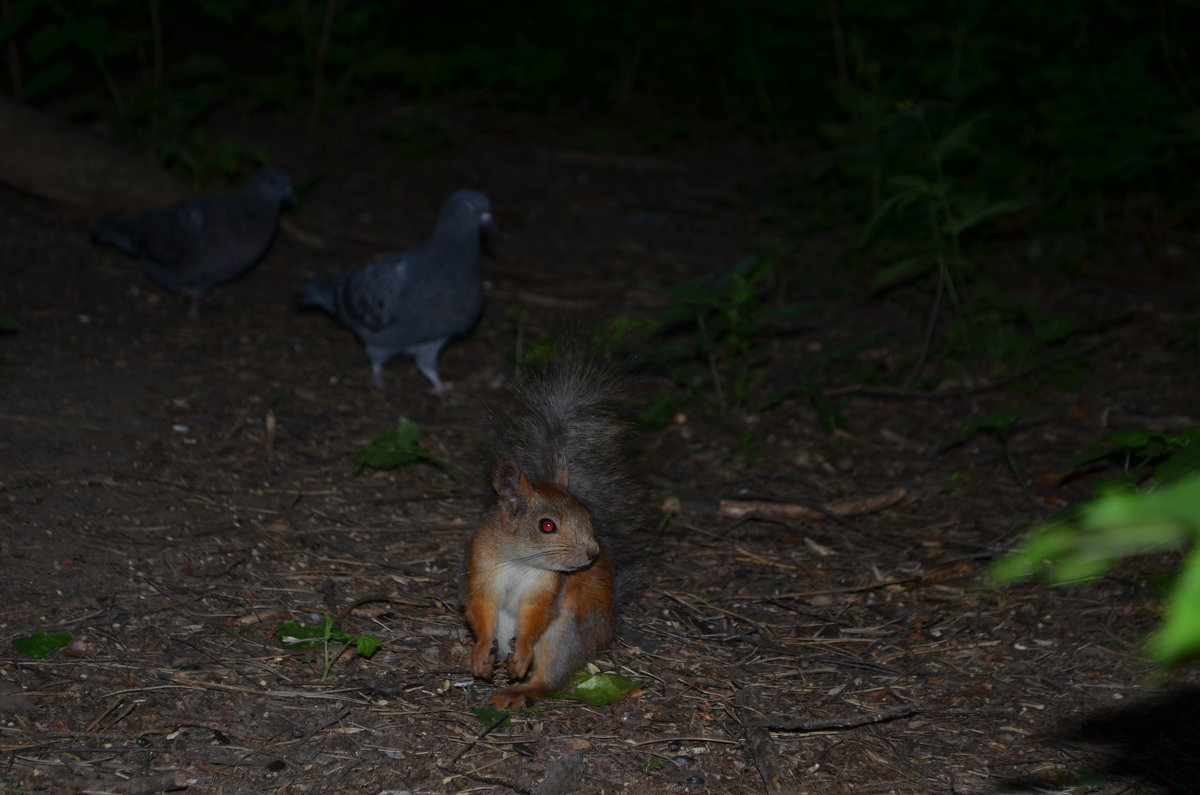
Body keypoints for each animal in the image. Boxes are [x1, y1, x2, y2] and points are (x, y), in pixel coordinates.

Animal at [463, 360, 643, 710]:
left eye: (587, 515)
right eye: (547, 526)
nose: (591, 553)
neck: (521, 562)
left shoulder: (547, 588)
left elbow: (536, 615)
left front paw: (521, 655)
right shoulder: (483, 566)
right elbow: (481, 606)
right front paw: (479, 652)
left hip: (565, 635)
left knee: (549, 678)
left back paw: (519, 689)